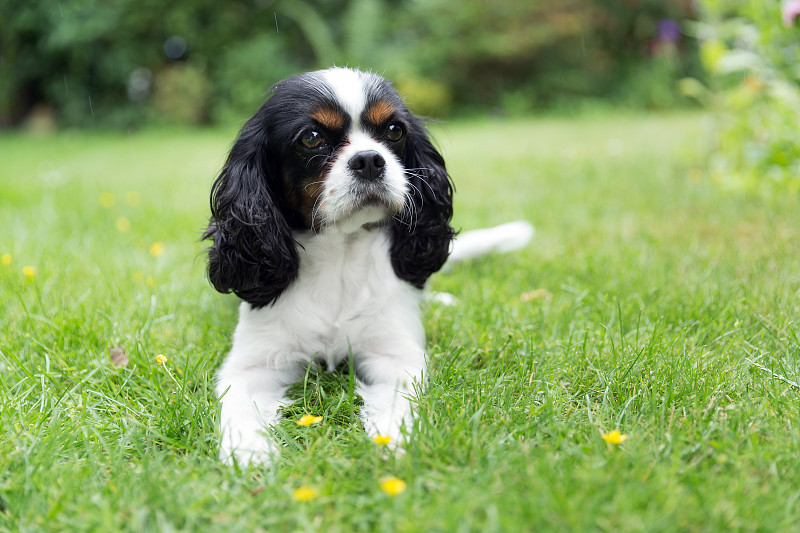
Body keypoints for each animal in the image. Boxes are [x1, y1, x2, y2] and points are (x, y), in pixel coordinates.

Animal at [205, 67, 532, 466]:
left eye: (394, 131)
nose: (370, 160)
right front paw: (248, 453)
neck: (341, 254)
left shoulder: (395, 357)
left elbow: (397, 403)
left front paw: (393, 444)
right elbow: (239, 406)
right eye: (311, 138)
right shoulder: (251, 364)